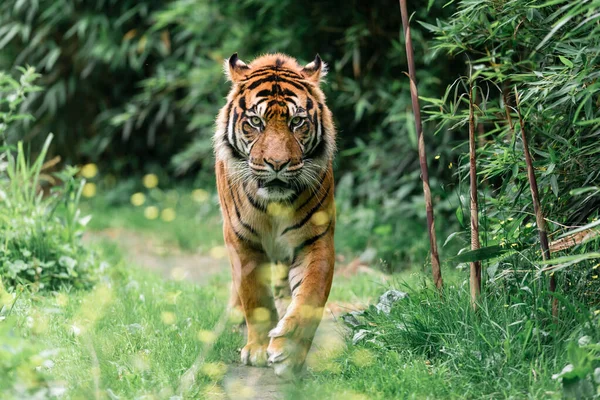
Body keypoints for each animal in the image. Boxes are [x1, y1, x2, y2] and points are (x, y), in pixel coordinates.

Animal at [214, 53, 338, 378]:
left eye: (297, 122)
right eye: (256, 122)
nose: (277, 164)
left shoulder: (316, 240)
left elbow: (310, 296)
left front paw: (288, 351)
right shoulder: (241, 239)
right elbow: (254, 295)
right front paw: (257, 349)